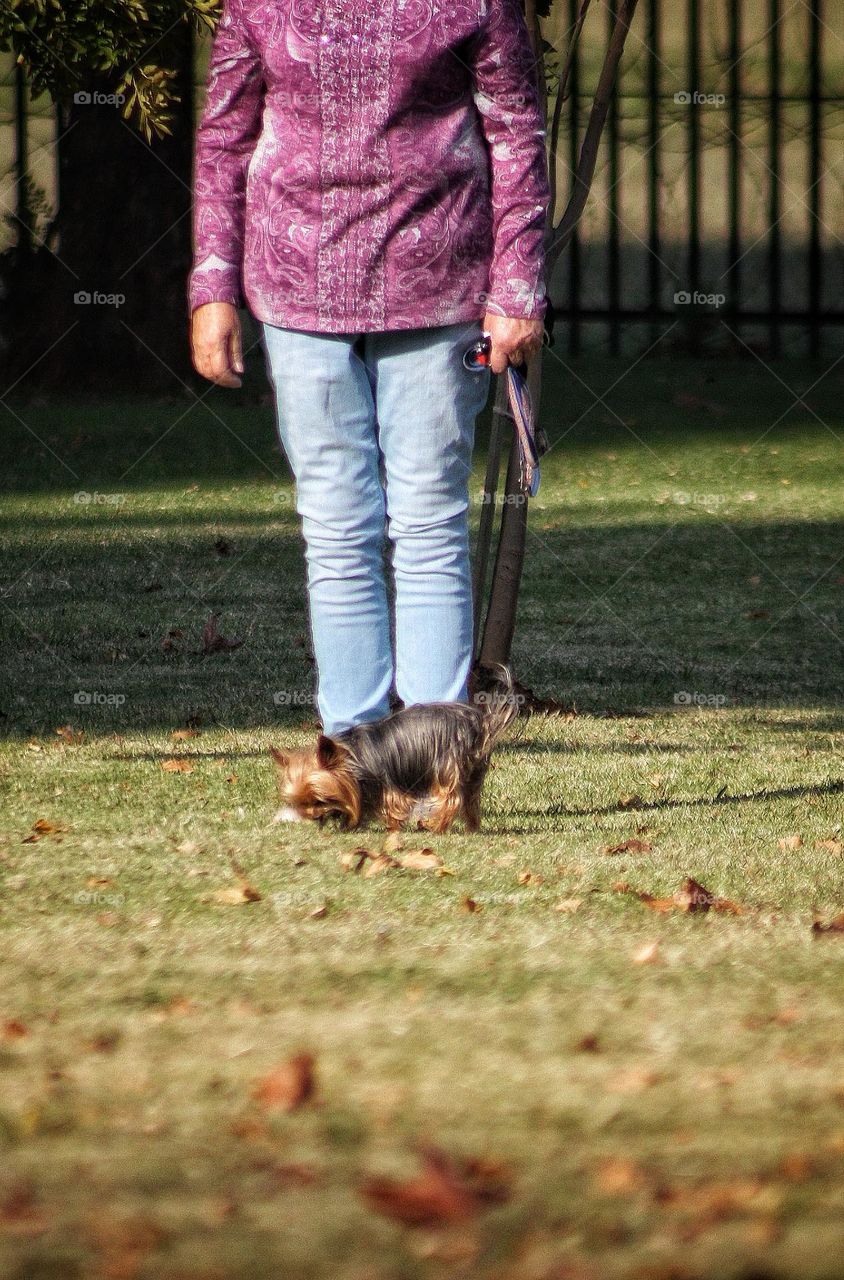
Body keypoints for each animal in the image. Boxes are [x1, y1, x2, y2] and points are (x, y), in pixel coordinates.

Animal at [274, 675, 517, 834]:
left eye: (320, 799)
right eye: (300, 803)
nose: (312, 816)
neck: (353, 758)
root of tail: (478, 722)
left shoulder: (389, 787)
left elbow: (392, 808)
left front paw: (391, 828)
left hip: (446, 768)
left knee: (451, 799)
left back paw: (437, 827)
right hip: (474, 772)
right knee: (471, 801)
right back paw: (472, 828)